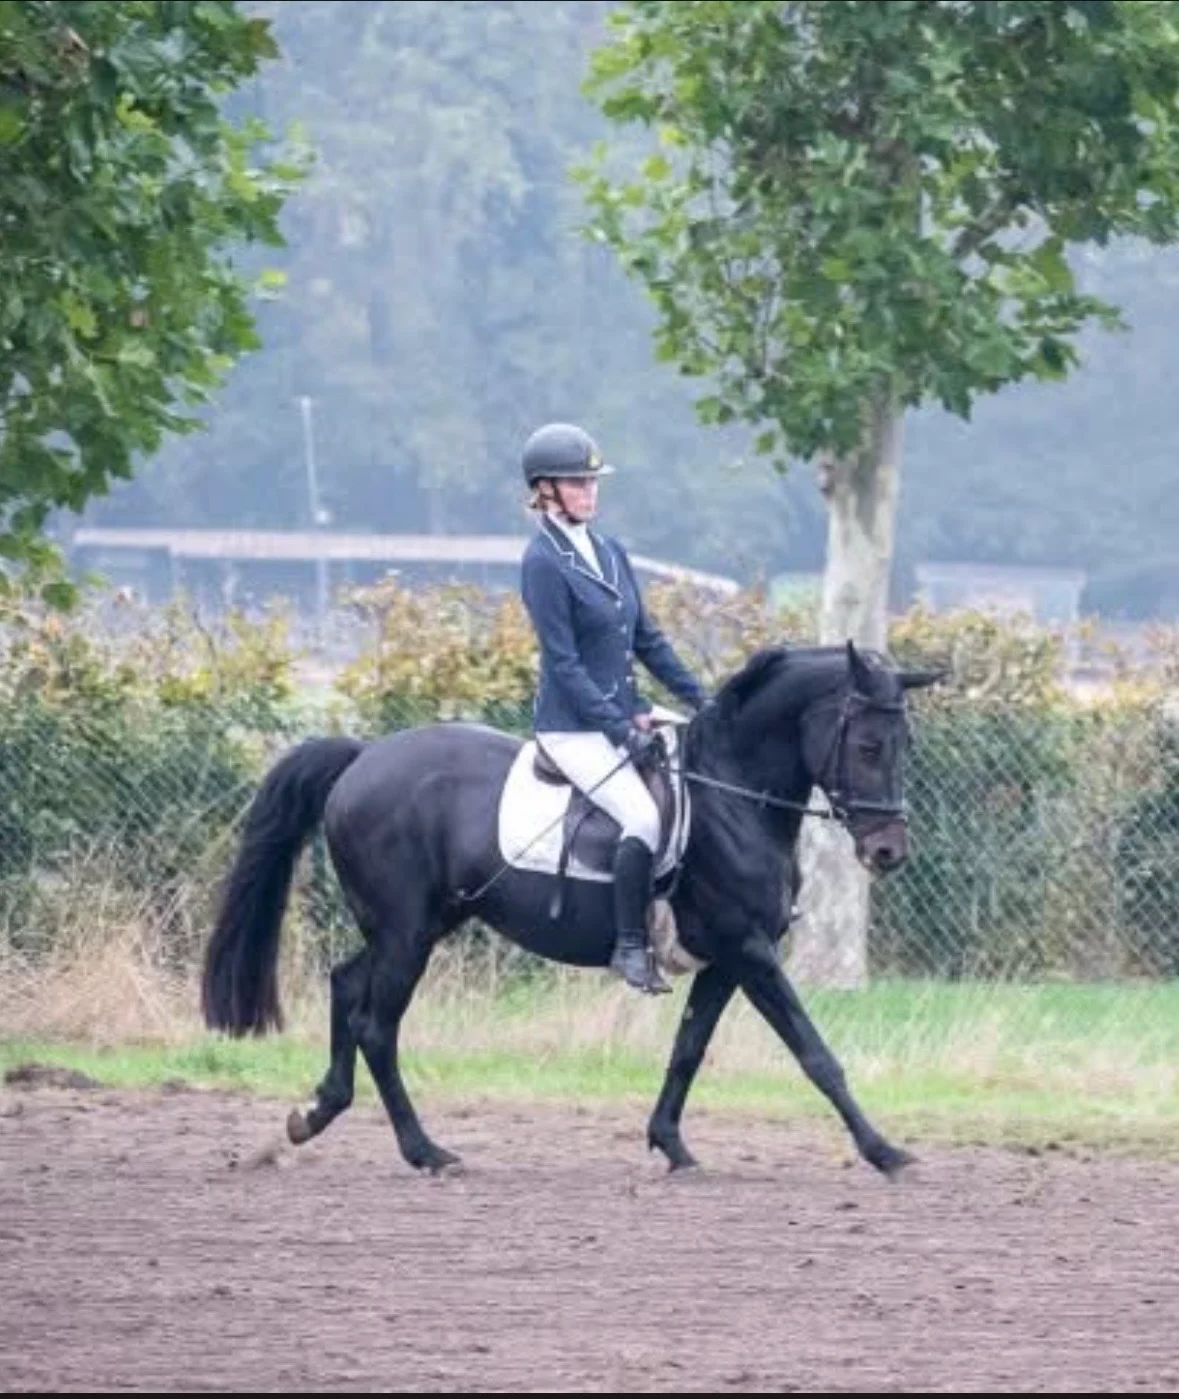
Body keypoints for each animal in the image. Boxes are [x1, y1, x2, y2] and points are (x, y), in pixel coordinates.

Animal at [202, 640, 939, 1177]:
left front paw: (671, 1145)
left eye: (906, 745)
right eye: (868, 745)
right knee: (376, 1024)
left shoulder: (725, 959)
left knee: (346, 985)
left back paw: (316, 1112)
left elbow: (688, 1049)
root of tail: (362, 757)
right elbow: (815, 1052)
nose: (887, 851)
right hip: (407, 932)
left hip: (419, 924)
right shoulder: (749, 949)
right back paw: (427, 1152)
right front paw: (885, 1151)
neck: (732, 795)